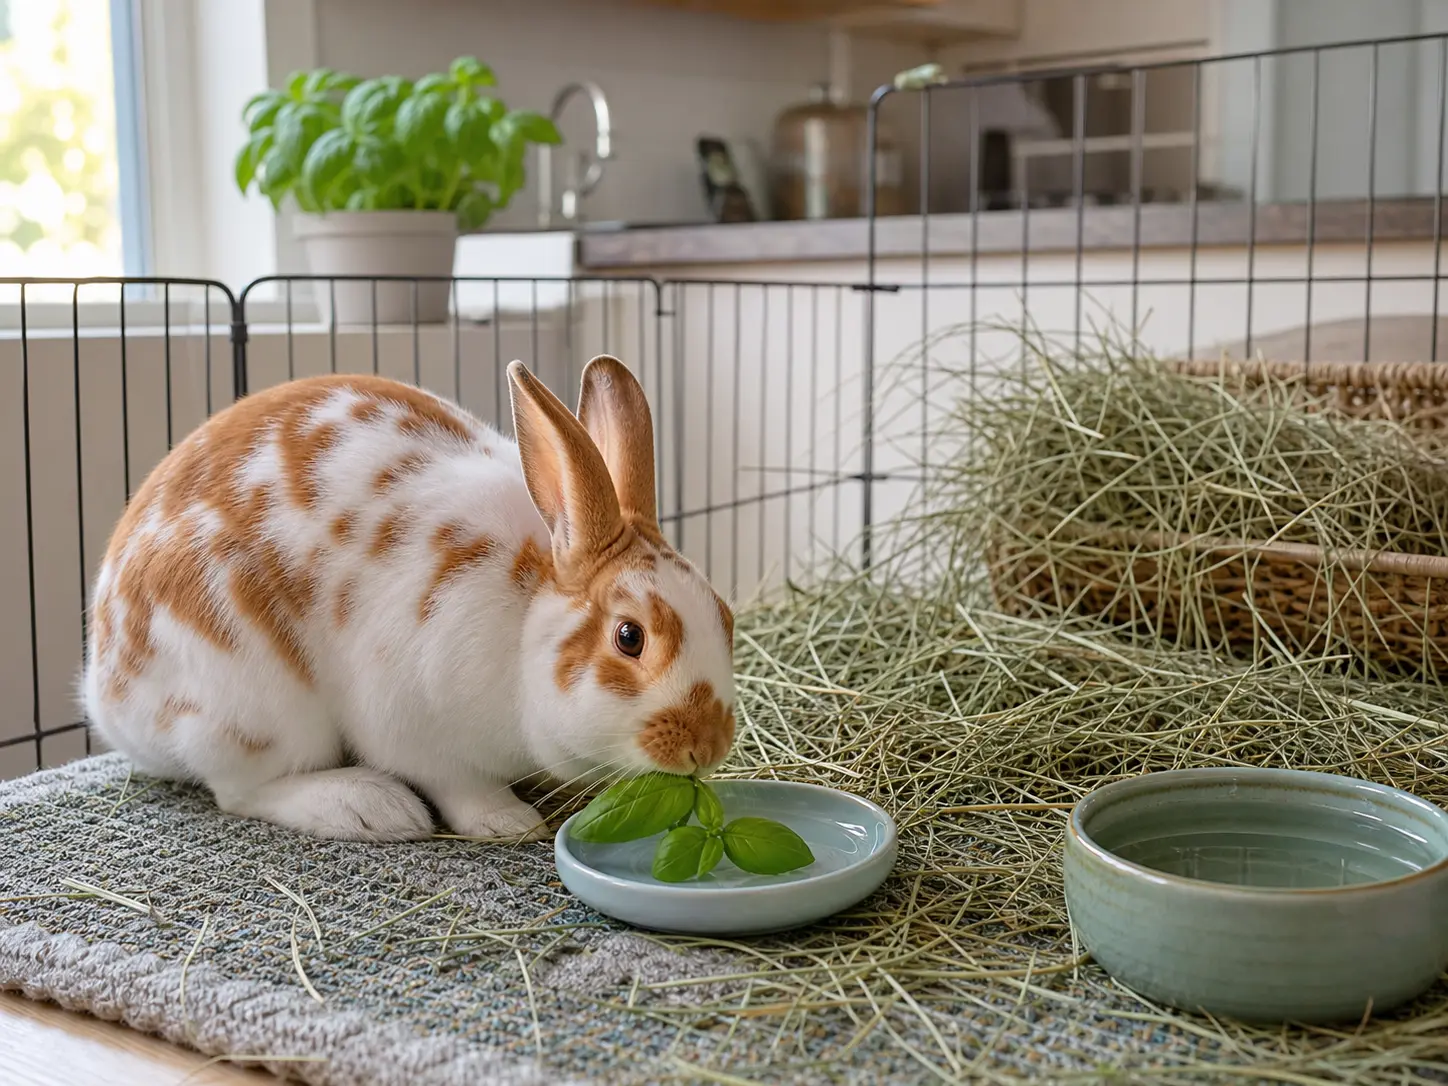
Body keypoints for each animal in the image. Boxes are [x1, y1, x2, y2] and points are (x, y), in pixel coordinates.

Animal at [80, 355, 737, 843]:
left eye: (726, 615)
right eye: (630, 637)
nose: (708, 745)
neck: (524, 621)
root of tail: (106, 696)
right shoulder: (409, 725)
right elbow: (456, 784)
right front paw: (507, 821)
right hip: (252, 703)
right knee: (241, 790)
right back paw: (370, 809)